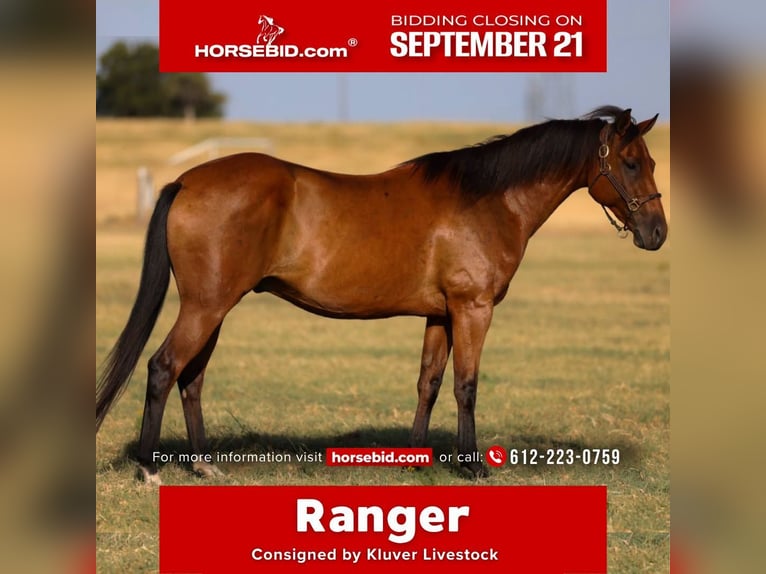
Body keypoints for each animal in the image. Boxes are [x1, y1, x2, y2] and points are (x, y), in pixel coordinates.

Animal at [96, 106, 667, 483]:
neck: (487, 200)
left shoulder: (441, 314)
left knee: (191, 378)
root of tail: (187, 182)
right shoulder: (473, 309)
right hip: (206, 305)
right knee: (164, 368)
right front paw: (472, 466)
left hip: (215, 307)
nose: (657, 232)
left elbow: (429, 383)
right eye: (632, 163)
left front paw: (416, 459)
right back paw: (149, 469)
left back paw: (204, 464)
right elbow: (466, 386)